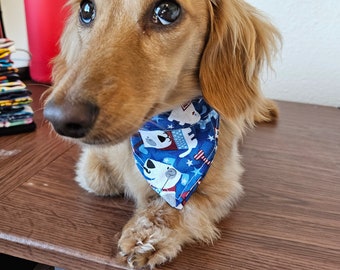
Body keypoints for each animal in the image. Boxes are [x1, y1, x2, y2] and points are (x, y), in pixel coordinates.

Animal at [43, 0, 280, 268]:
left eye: (167, 11)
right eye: (86, 10)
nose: (58, 118)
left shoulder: (224, 183)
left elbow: (174, 206)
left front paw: (146, 235)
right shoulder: (93, 160)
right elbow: (98, 180)